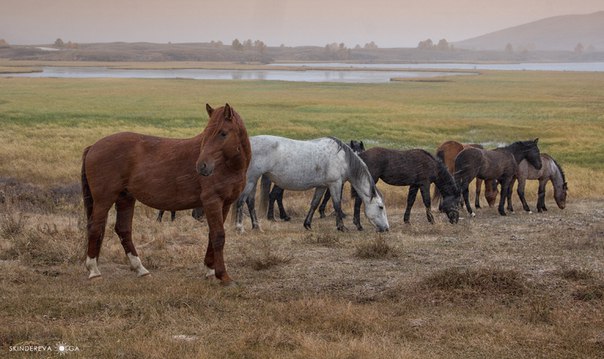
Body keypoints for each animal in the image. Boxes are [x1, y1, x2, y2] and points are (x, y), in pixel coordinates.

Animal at [80, 104, 250, 286]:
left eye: (223, 133)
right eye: (206, 133)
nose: (202, 166)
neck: (227, 166)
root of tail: (93, 146)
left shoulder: (225, 204)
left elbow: (213, 235)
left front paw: (210, 270)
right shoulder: (212, 202)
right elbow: (218, 236)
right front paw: (223, 276)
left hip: (125, 198)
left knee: (123, 229)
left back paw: (140, 269)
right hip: (104, 200)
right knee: (95, 228)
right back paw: (94, 271)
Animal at [234, 136, 390, 233]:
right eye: (381, 207)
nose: (386, 228)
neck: (343, 159)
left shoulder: (322, 186)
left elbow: (314, 203)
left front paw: (307, 224)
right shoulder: (335, 184)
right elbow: (337, 204)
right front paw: (341, 227)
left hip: (254, 180)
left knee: (250, 202)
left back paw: (256, 227)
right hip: (250, 179)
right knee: (241, 201)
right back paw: (239, 227)